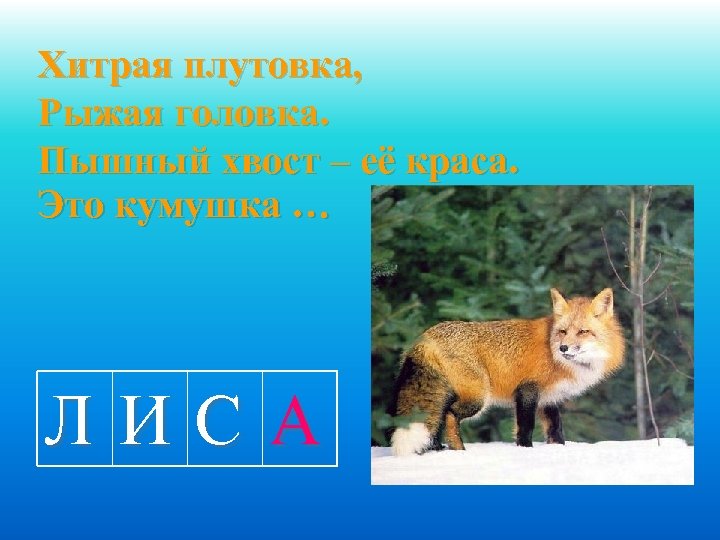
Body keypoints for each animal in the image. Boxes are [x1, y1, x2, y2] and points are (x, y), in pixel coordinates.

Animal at [388, 288, 624, 456]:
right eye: (563, 332)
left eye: (583, 331)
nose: (563, 348)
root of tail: (425, 336)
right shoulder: (527, 390)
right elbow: (525, 427)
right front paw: (525, 451)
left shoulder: (550, 398)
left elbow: (556, 430)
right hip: (478, 397)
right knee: (450, 415)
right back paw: (459, 452)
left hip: (447, 395)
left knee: (437, 420)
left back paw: (436, 451)